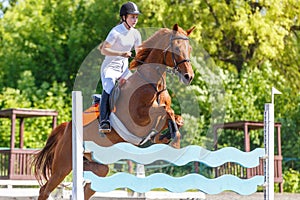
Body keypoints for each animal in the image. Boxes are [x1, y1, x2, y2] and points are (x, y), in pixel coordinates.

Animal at [32, 24, 195, 200]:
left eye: (190, 49)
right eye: (177, 48)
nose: (189, 76)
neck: (153, 84)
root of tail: (65, 128)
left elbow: (176, 118)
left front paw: (165, 137)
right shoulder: (139, 118)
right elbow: (166, 111)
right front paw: (174, 142)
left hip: (96, 164)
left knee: (93, 180)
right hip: (63, 165)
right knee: (45, 190)